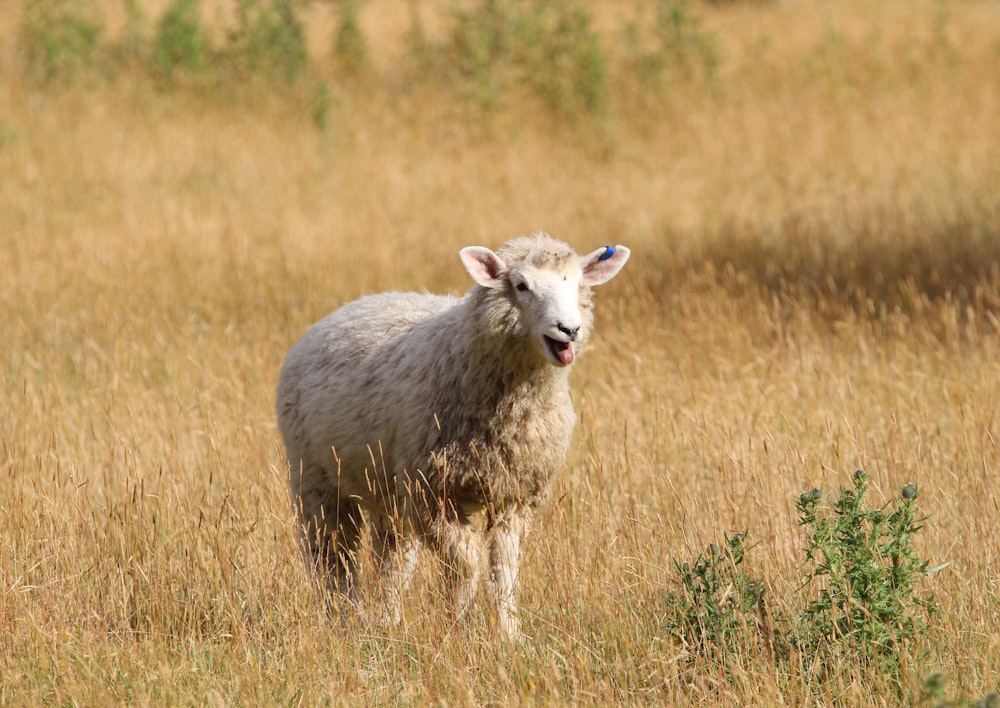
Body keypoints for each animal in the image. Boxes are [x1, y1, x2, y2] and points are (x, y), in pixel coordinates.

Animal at [274, 234, 632, 640]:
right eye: (521, 285)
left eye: (578, 283)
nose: (569, 329)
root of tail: (345, 309)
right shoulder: (433, 494)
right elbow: (466, 566)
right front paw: (458, 629)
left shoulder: (513, 496)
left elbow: (504, 569)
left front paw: (509, 635)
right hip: (316, 478)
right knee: (332, 557)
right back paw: (344, 621)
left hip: (387, 490)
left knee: (391, 559)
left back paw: (387, 621)